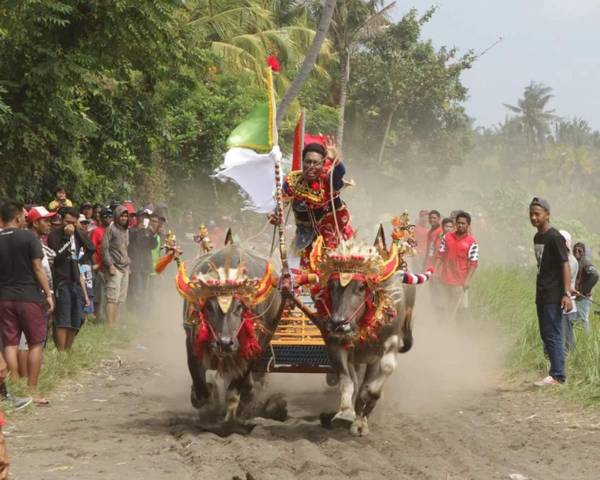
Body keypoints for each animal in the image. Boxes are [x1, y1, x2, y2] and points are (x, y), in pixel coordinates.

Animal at [172, 240, 284, 420]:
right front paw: (209, 399)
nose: (224, 343)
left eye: (239, 307)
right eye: (209, 307)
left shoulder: (252, 347)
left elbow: (237, 390)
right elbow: (201, 389)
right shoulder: (191, 341)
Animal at [308, 235, 428, 436]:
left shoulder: (390, 341)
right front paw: (344, 414)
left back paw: (362, 417)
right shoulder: (336, 345)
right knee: (356, 380)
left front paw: (363, 413)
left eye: (361, 287)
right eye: (332, 286)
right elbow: (348, 382)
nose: (338, 323)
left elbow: (377, 381)